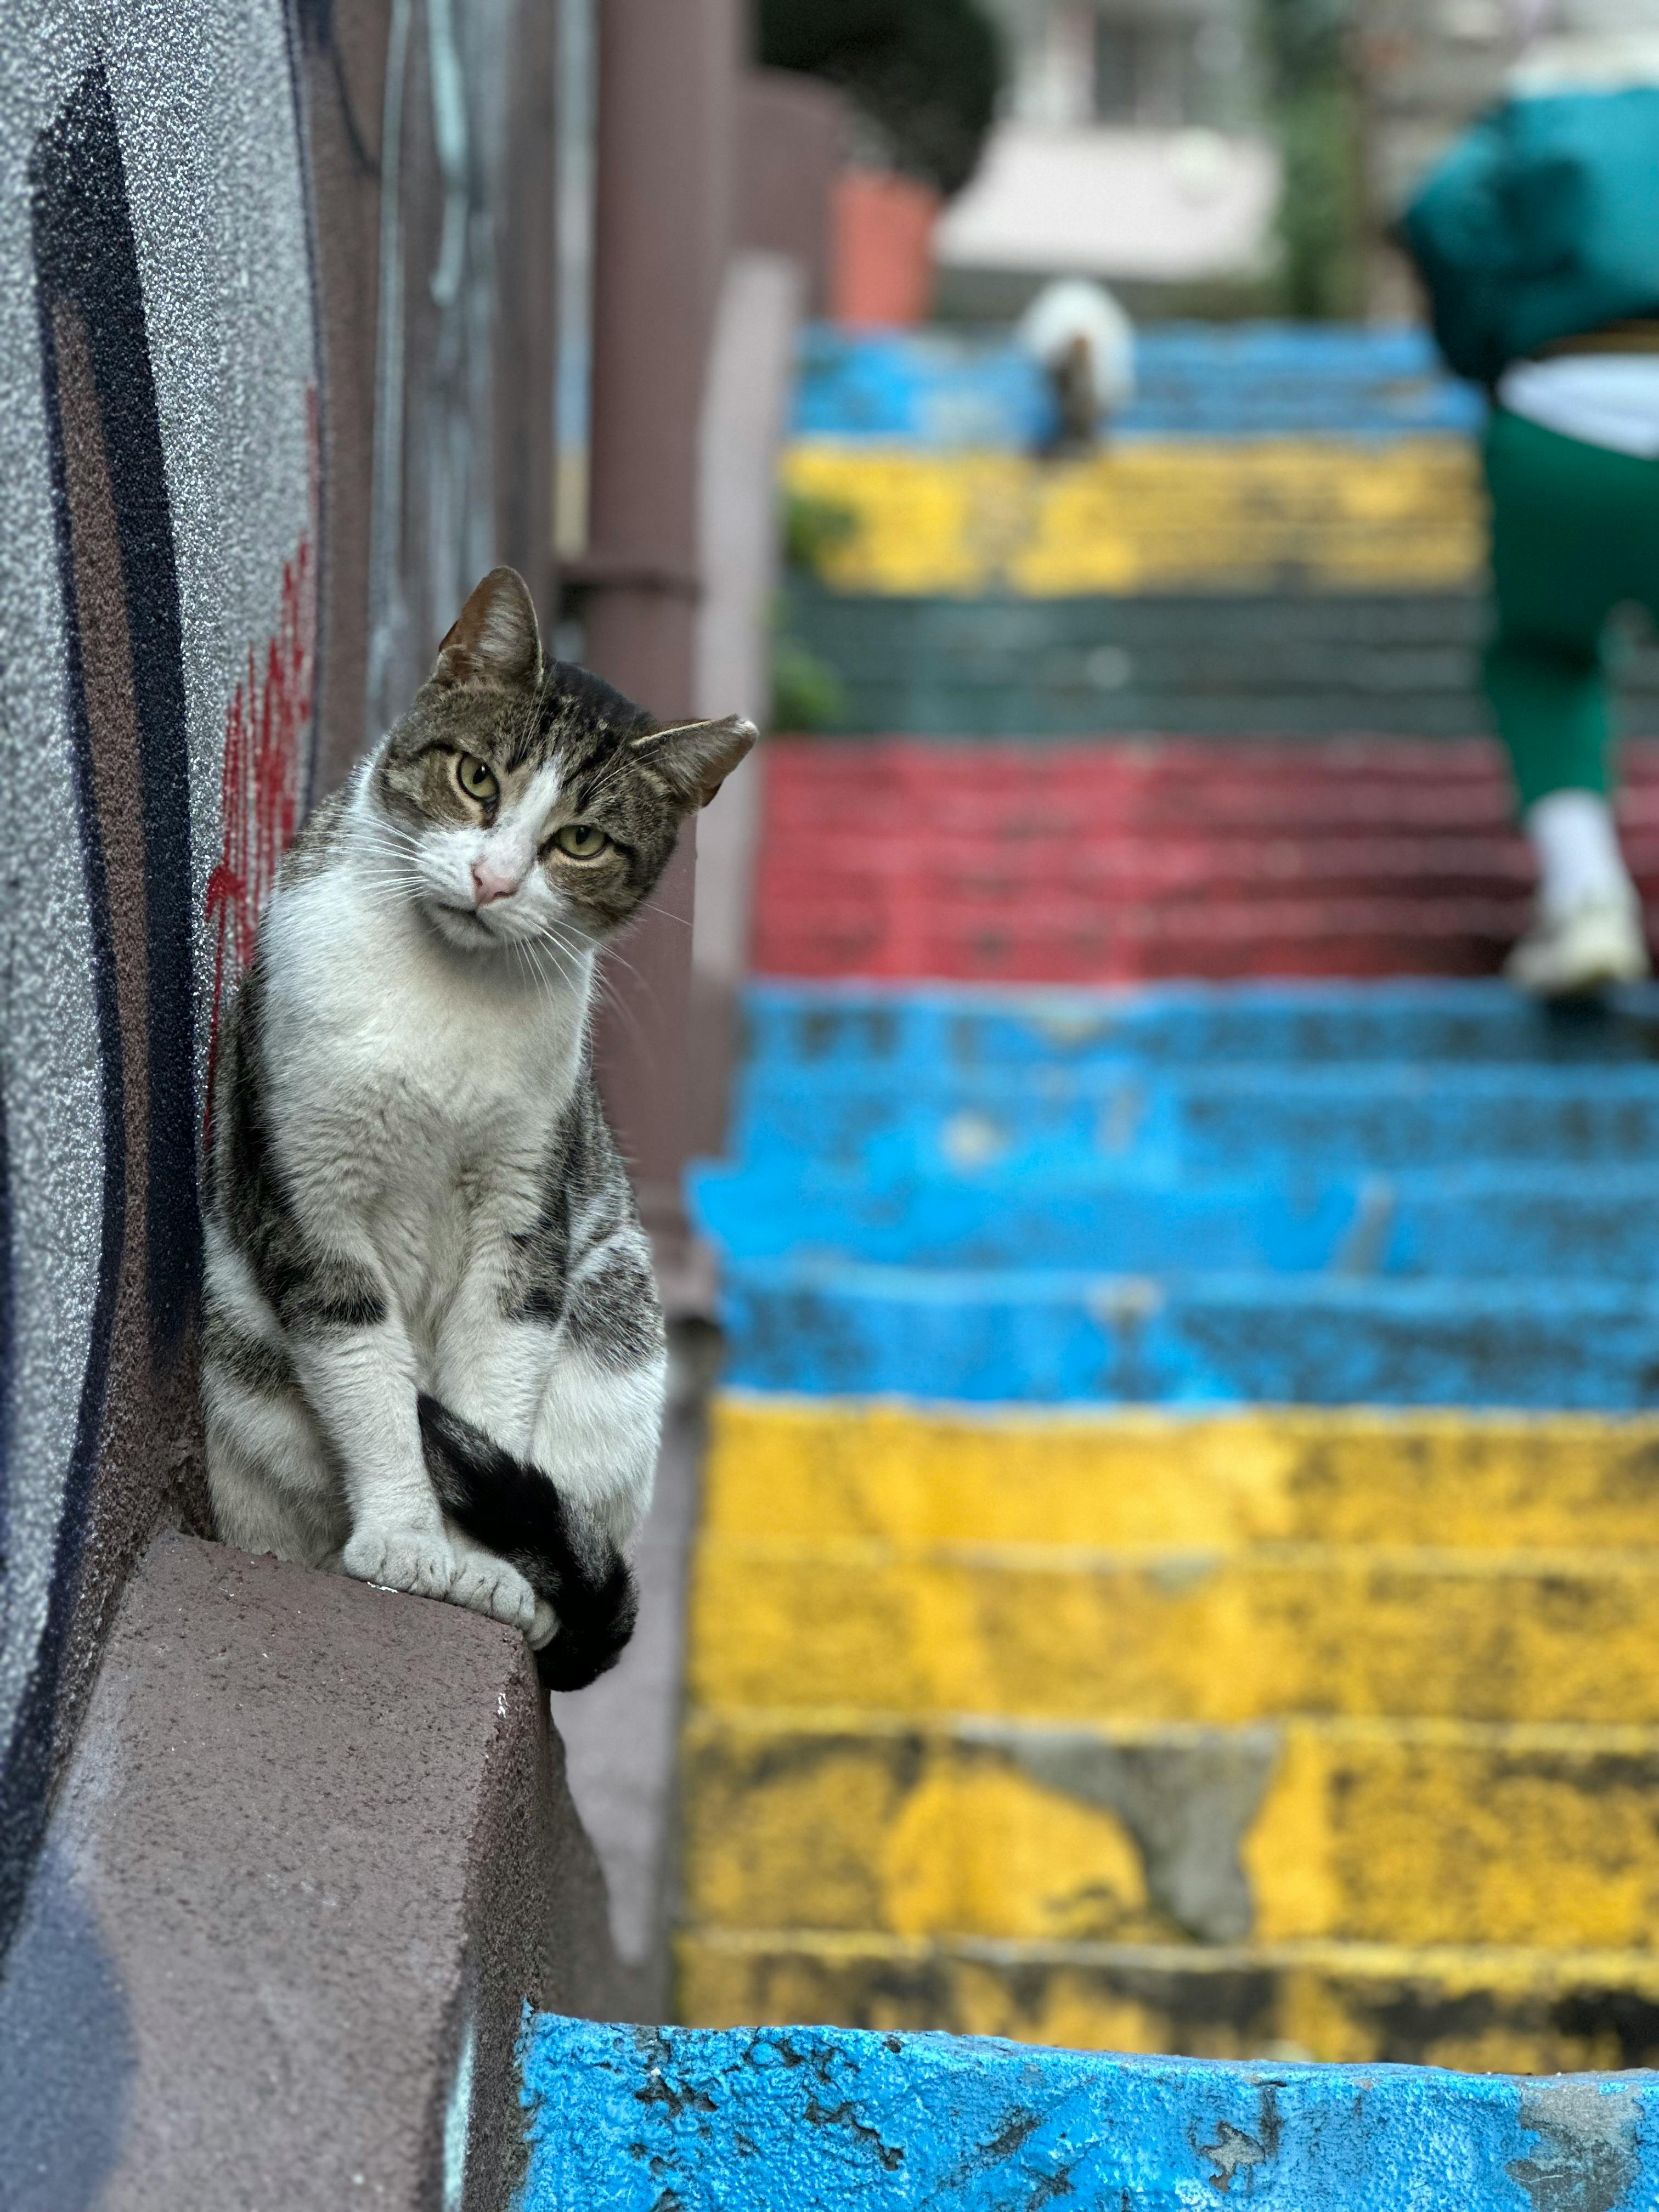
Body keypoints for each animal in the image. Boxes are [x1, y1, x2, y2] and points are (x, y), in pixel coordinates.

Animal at [198, 562, 756, 1681]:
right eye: (475, 779)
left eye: (580, 840)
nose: (493, 880)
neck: (445, 1001)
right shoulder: (313, 1197)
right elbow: (370, 1381)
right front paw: (409, 1543)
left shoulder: (522, 1214)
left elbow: (487, 1386)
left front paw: (483, 1572)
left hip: (615, 1330)